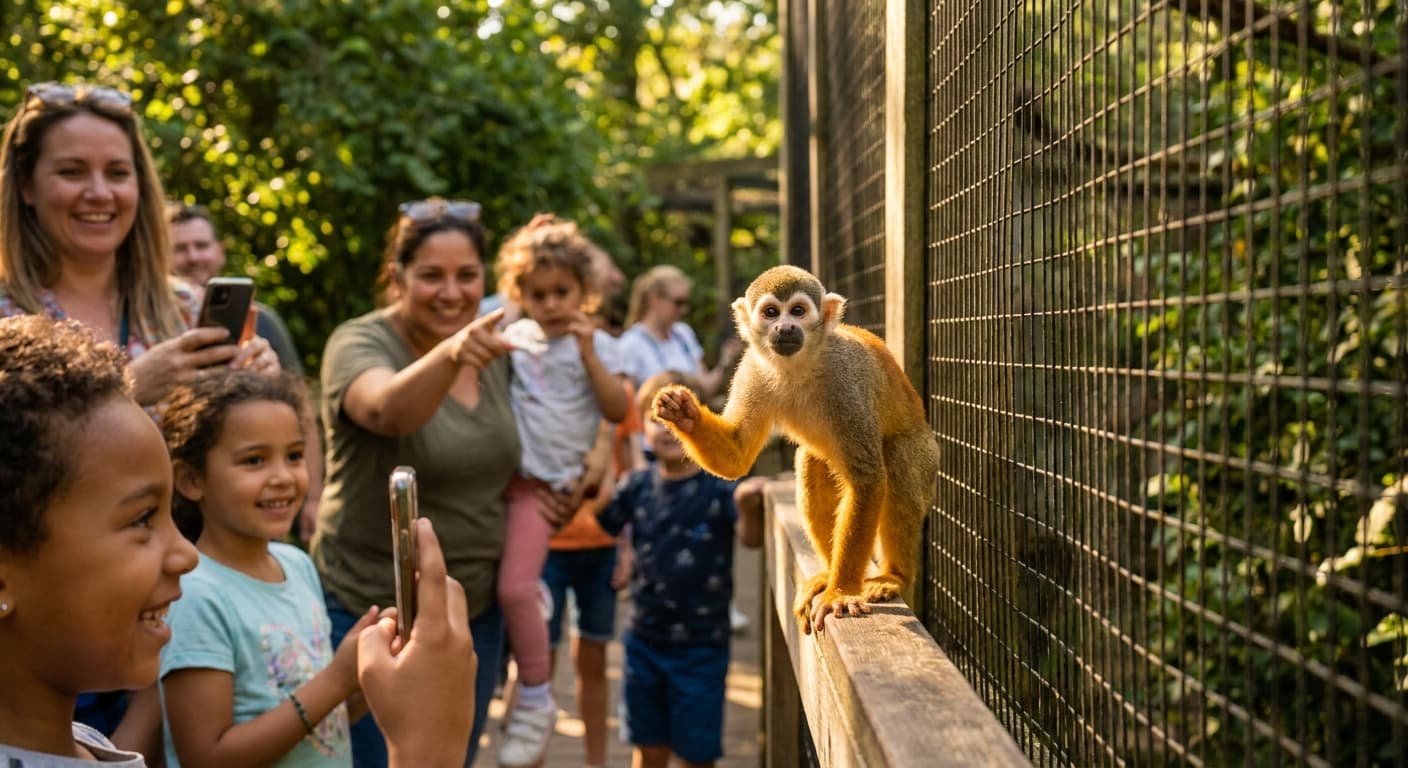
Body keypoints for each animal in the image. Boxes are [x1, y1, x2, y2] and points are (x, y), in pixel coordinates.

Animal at [651, 265, 940, 634]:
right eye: (771, 312)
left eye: (798, 311)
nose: (785, 327)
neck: (798, 365)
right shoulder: (752, 369)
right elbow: (736, 456)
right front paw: (683, 413)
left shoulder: (844, 381)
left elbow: (867, 478)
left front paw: (841, 593)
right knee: (812, 461)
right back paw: (828, 573)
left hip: (925, 455)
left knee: (899, 461)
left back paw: (893, 576)